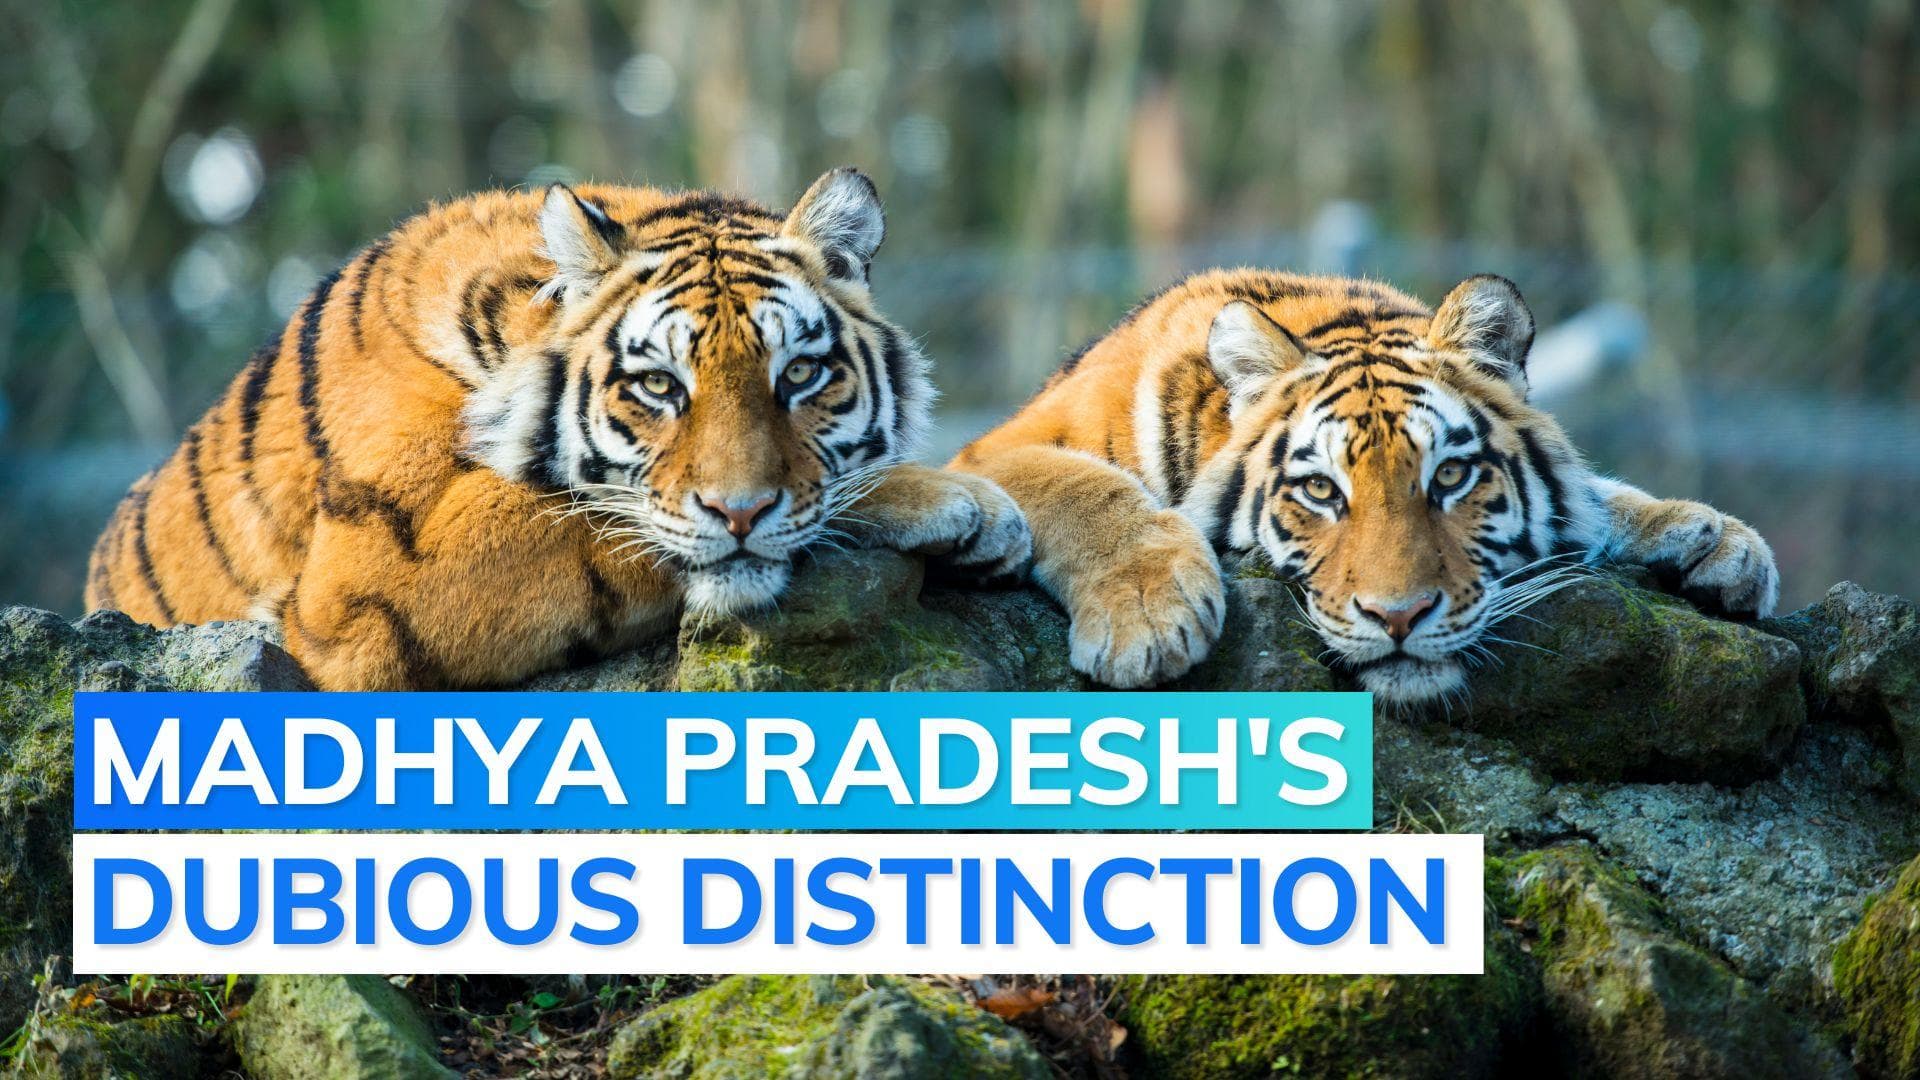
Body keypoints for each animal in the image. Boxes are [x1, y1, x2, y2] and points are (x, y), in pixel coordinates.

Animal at [86, 168, 1030, 690]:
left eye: (799, 374)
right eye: (658, 385)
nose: (741, 513)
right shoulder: (366, 581)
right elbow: (601, 518)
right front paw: (962, 502)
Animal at [951, 270, 1778, 703]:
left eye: (1450, 476)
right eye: (1320, 492)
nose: (1399, 617)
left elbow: (1599, 496)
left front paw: (1715, 539)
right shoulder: (991, 453)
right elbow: (1086, 486)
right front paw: (1148, 618)